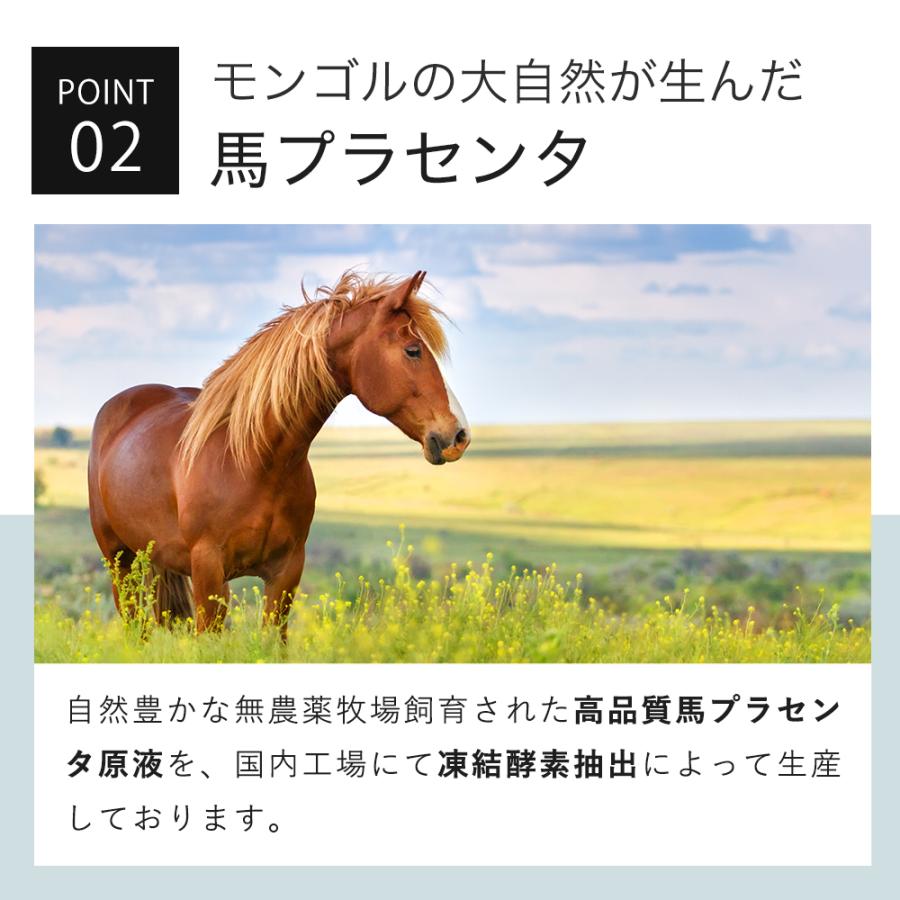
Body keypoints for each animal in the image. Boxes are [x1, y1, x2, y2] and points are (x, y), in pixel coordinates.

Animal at [87, 270, 470, 637]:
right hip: (120, 562)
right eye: (413, 350)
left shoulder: (286, 573)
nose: (459, 435)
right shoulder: (208, 572)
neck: (254, 462)